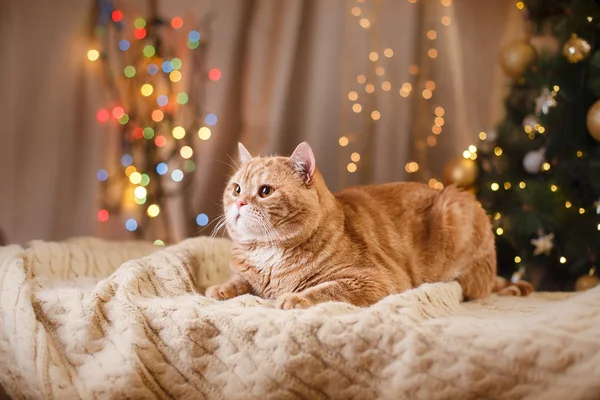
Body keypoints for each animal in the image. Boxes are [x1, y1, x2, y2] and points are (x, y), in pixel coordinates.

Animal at [206, 143, 496, 310]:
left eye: (265, 191)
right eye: (236, 189)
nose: (240, 202)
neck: (268, 253)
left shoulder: (374, 280)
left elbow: (328, 289)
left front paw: (296, 298)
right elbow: (240, 281)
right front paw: (221, 288)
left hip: (455, 206)